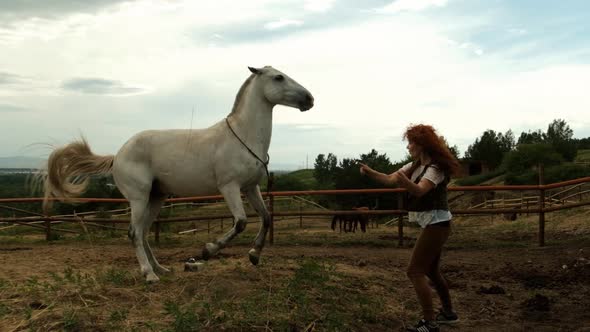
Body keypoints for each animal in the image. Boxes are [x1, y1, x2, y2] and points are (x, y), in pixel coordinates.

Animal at [42, 66, 314, 282]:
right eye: (279, 77)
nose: (309, 99)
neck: (243, 137)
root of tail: (117, 155)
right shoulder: (229, 187)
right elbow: (240, 222)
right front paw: (207, 251)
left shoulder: (250, 187)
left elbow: (266, 218)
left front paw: (254, 256)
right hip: (139, 198)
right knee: (134, 233)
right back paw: (149, 275)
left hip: (157, 197)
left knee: (144, 232)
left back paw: (161, 269)